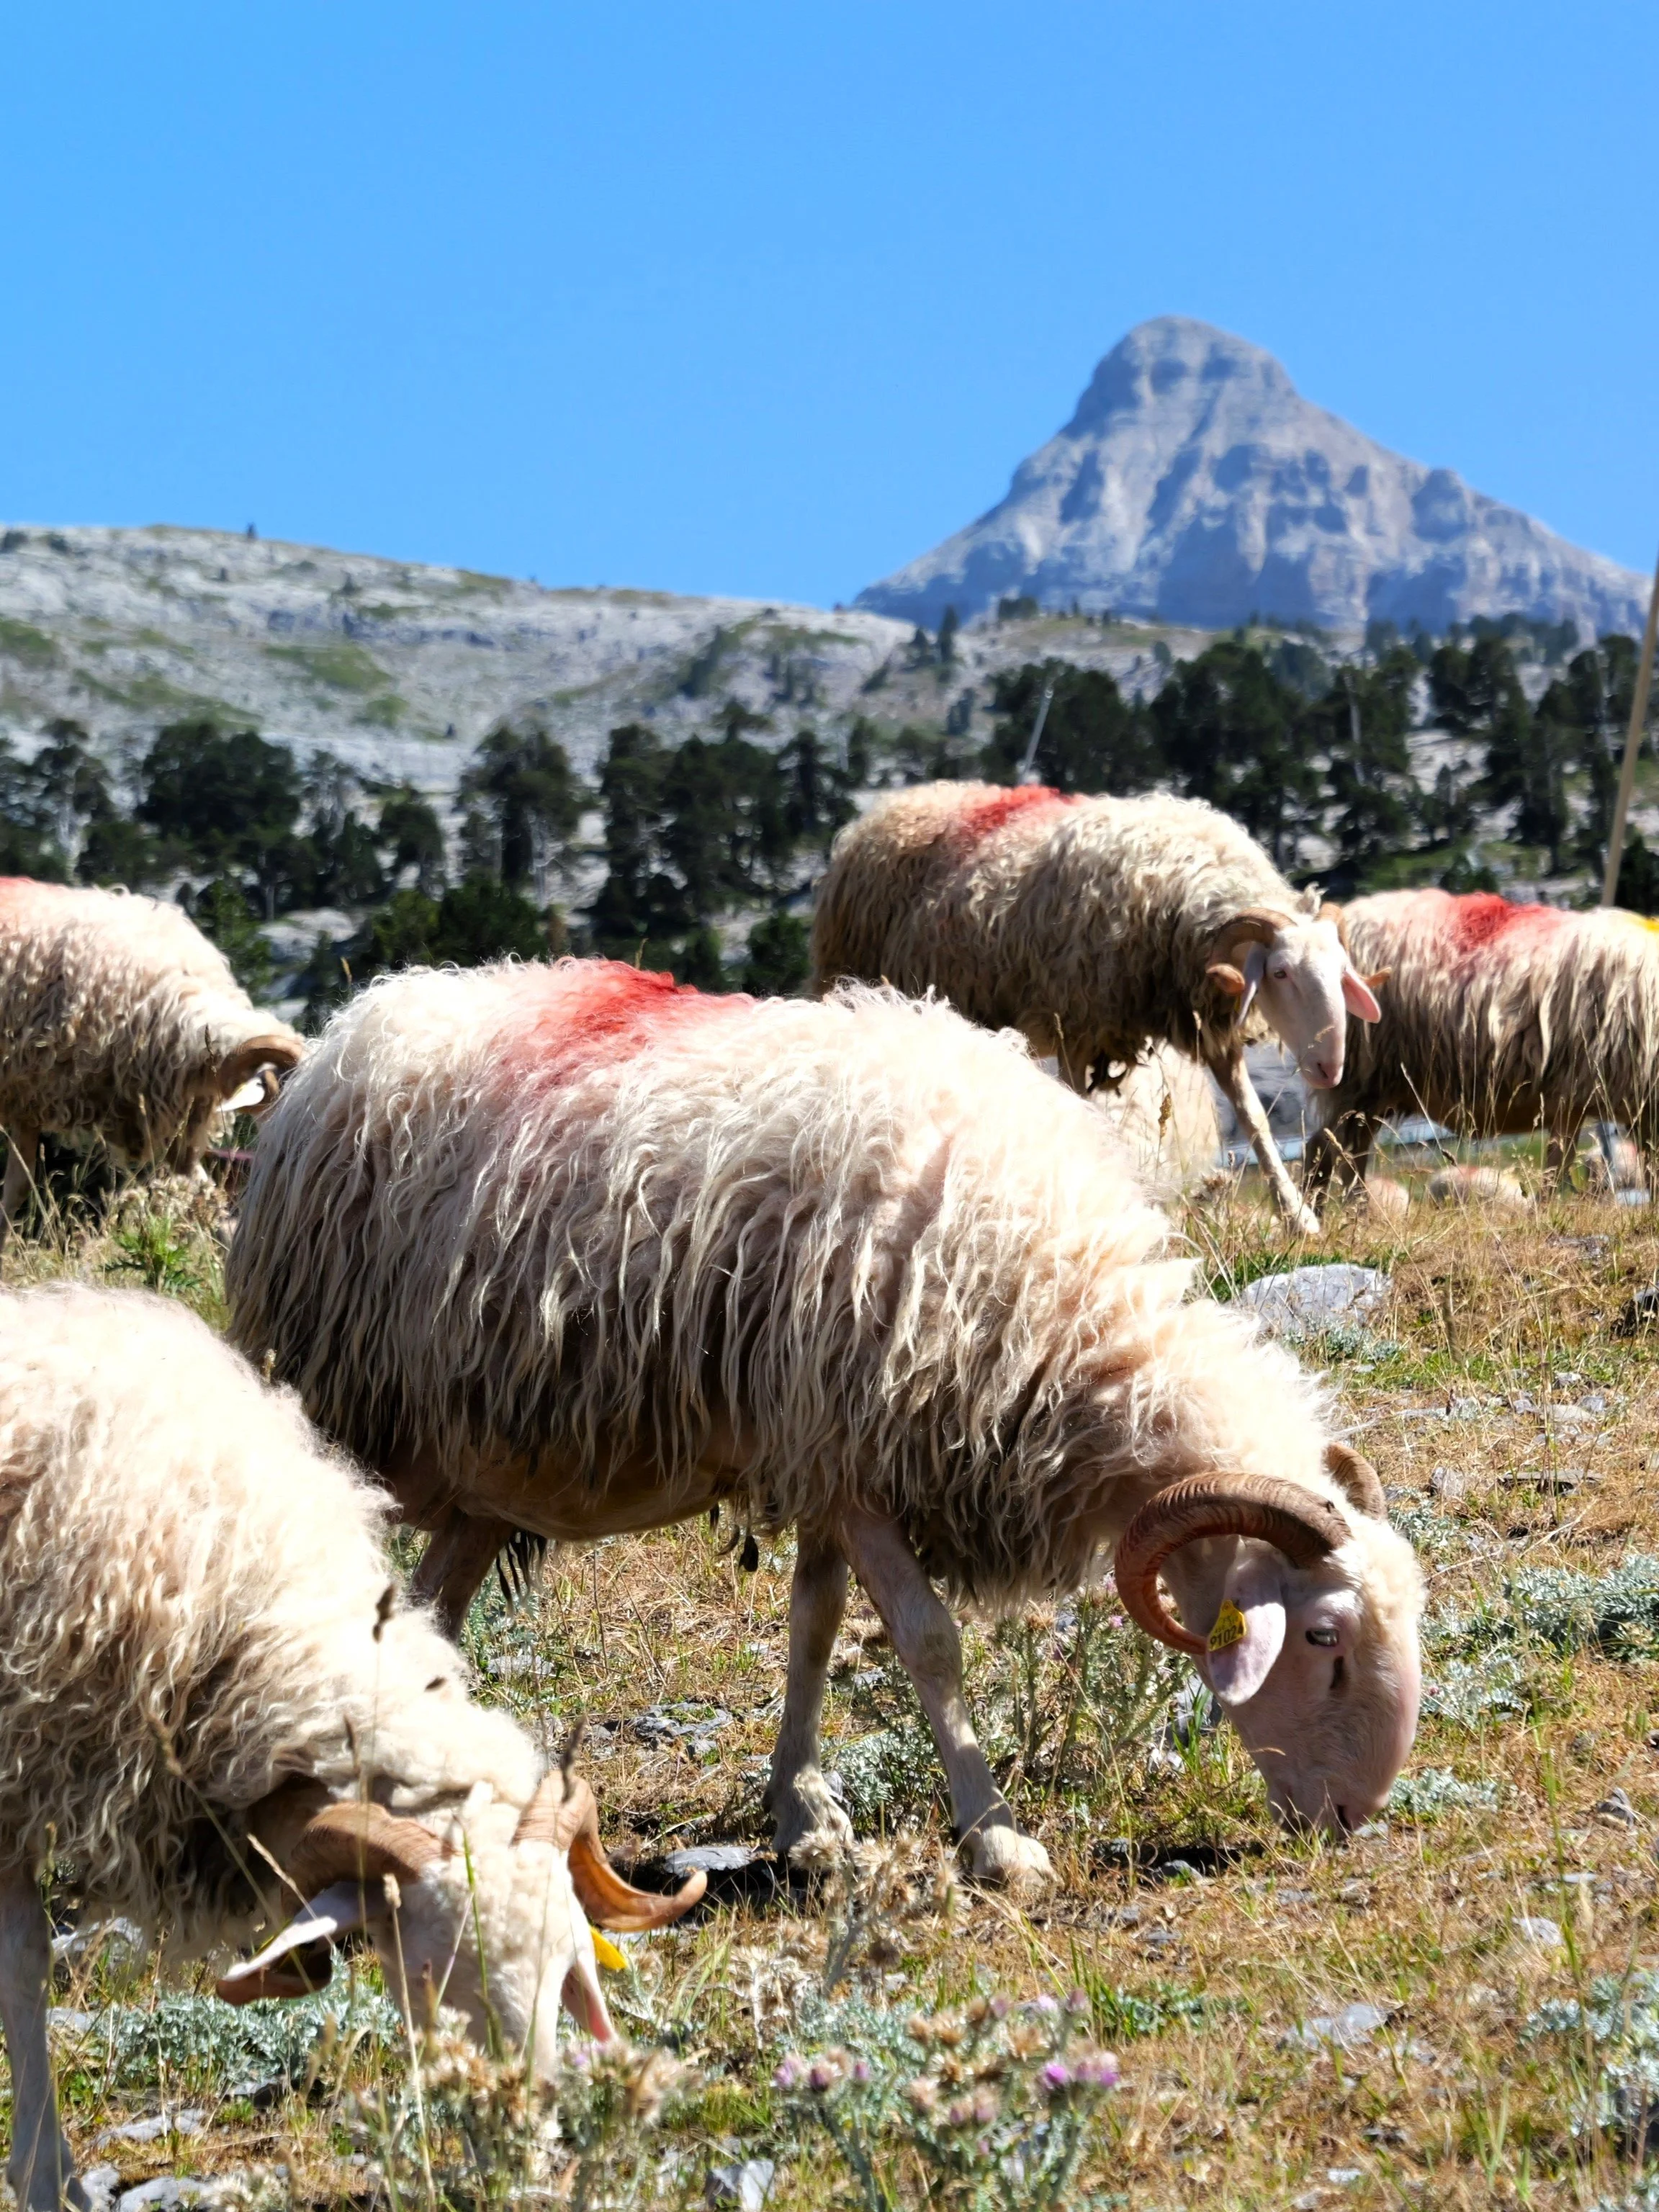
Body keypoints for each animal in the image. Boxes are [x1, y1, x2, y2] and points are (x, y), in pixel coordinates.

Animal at [226, 956, 1424, 1893]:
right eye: (1323, 1638)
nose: (1352, 1820)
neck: (1063, 1319)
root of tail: (353, 1031)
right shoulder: (850, 1449)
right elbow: (930, 1642)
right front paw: (997, 1841)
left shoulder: (830, 1449)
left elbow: (814, 1623)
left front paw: (803, 1819)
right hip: (355, 1414)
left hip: (485, 1473)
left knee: (426, 1619)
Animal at [808, 784, 1384, 1234]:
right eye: (1281, 973)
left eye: (1341, 973)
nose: (1330, 1066)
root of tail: (889, 805)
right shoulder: (1077, 1023)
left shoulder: (1207, 1022)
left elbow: (1254, 1117)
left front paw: (1298, 1217)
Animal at [1302, 889, 1659, 1209]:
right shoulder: (1573, 1091)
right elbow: (1556, 1168)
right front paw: (1544, 1213)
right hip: (1358, 1076)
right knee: (1327, 1152)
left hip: (1377, 1089)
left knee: (1344, 1153)